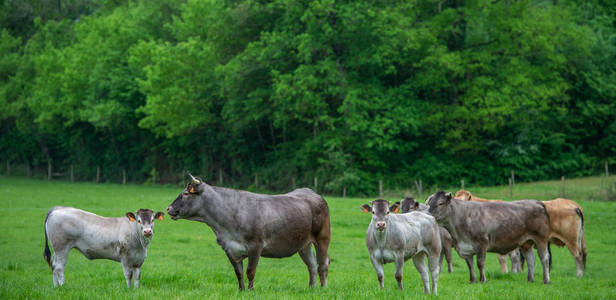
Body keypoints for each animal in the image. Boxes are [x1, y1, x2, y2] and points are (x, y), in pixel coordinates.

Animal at [166, 173, 332, 290]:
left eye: (186, 194)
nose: (168, 208)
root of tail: (311, 192)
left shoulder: (255, 246)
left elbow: (250, 271)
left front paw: (251, 291)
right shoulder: (229, 248)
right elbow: (239, 273)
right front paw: (241, 290)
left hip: (322, 238)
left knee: (323, 264)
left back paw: (322, 289)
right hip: (303, 244)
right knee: (312, 265)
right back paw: (311, 288)